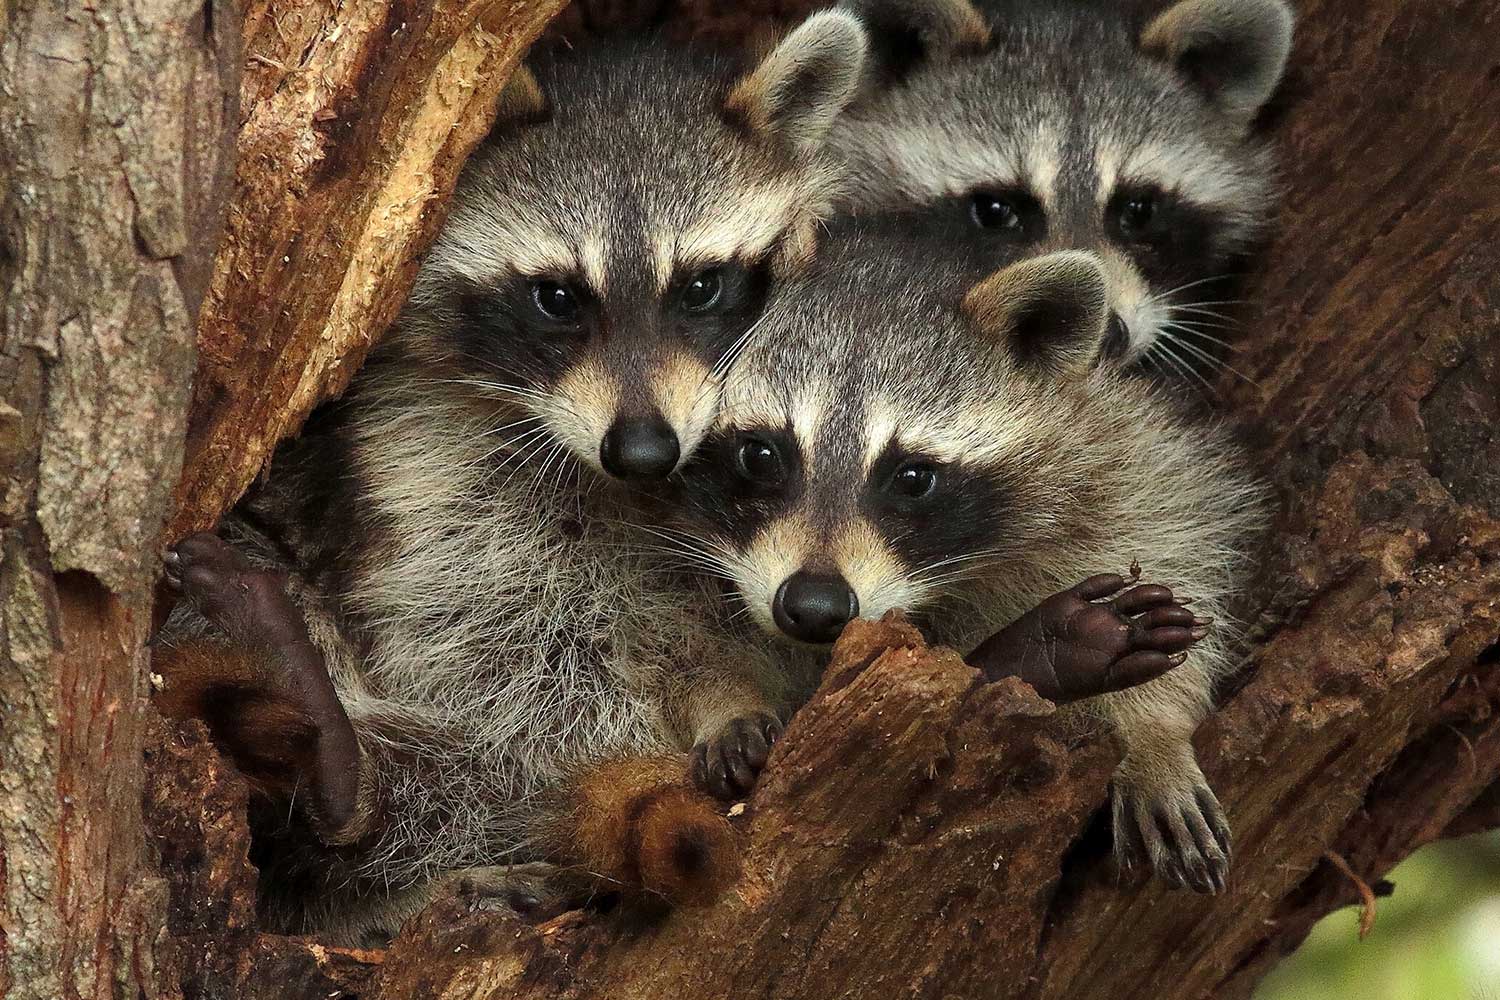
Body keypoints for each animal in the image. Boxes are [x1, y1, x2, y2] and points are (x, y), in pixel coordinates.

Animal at [669, 223, 1266, 893]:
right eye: (762, 455)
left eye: (912, 477)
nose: (814, 606)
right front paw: (725, 700)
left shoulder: (1114, 444)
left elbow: (1175, 536)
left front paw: (1154, 734)